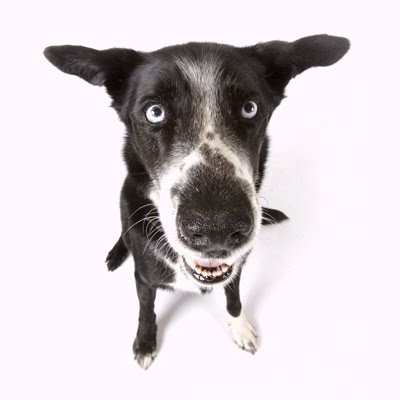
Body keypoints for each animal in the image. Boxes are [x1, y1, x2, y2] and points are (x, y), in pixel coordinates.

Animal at [44, 34, 349, 369]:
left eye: (250, 108)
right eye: (155, 112)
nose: (216, 230)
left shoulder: (236, 268)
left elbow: (234, 299)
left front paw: (241, 328)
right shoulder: (143, 278)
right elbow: (146, 311)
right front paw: (145, 342)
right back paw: (116, 254)